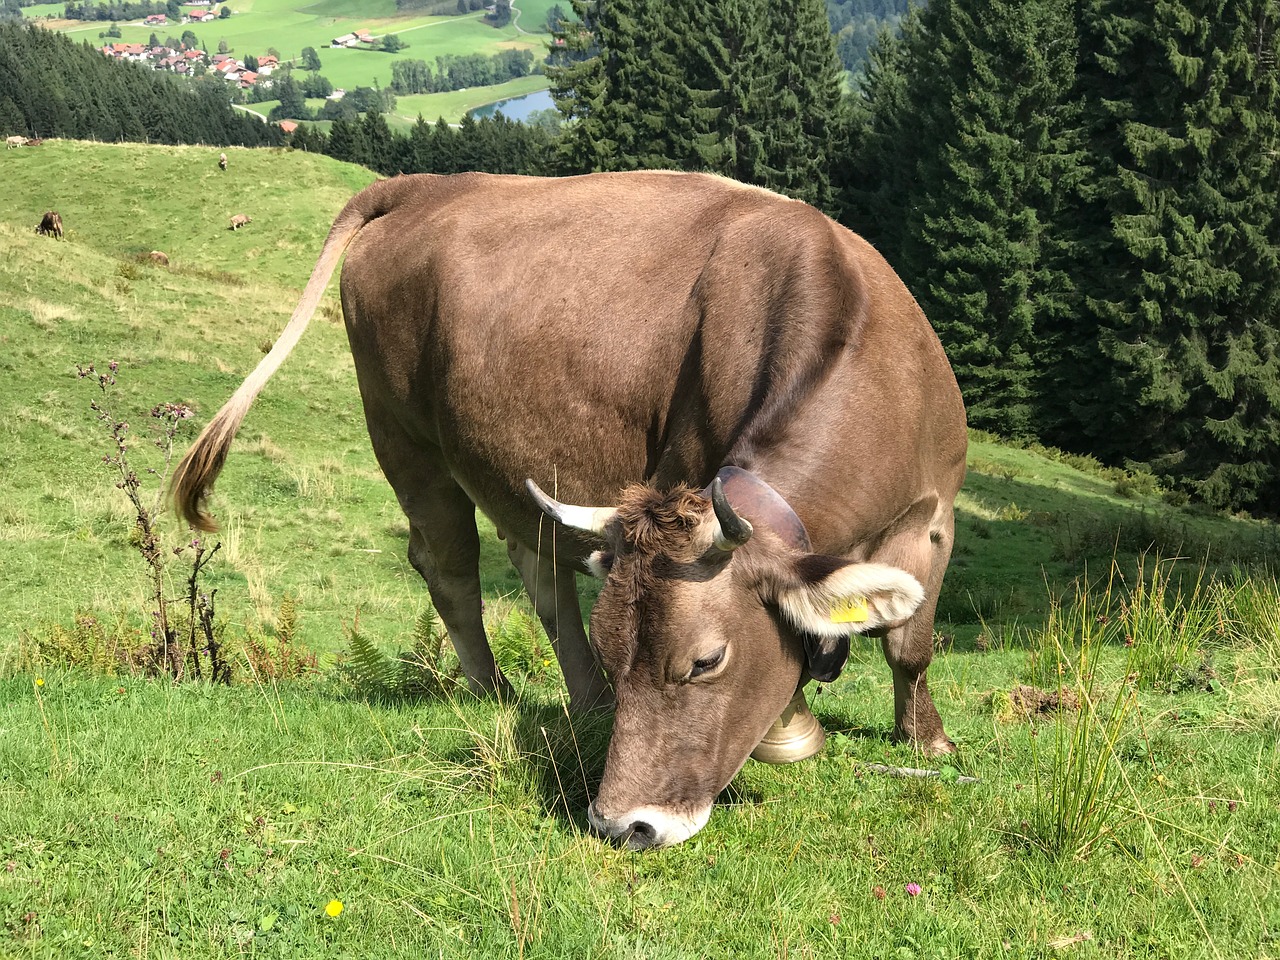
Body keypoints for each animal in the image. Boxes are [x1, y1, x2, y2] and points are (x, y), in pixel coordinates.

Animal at [172, 172, 967, 849]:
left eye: (706, 661)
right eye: (623, 652)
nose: (625, 824)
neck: (867, 365)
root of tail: (428, 184)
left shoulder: (936, 516)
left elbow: (910, 643)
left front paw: (926, 739)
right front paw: (791, 732)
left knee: (542, 574)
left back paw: (584, 701)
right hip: (404, 437)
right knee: (450, 568)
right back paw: (494, 687)